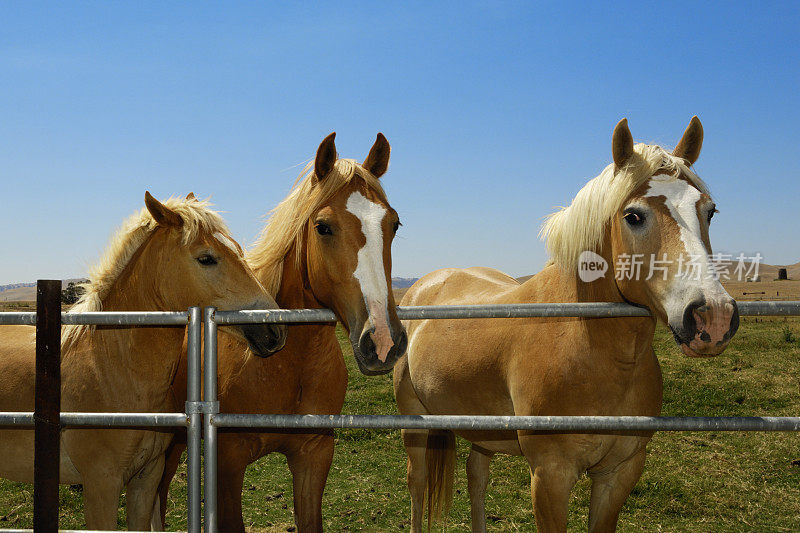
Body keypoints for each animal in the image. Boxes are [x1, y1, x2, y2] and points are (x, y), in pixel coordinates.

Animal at [157, 132, 406, 528]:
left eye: (394, 225)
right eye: (323, 227)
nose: (382, 340)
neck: (288, 362)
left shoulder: (314, 453)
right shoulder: (228, 460)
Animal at [396, 117, 740, 532]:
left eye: (710, 211)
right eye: (634, 216)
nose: (714, 316)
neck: (590, 349)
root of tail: (426, 283)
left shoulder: (619, 473)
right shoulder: (550, 476)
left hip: (484, 432)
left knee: (476, 475)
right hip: (414, 422)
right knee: (416, 484)